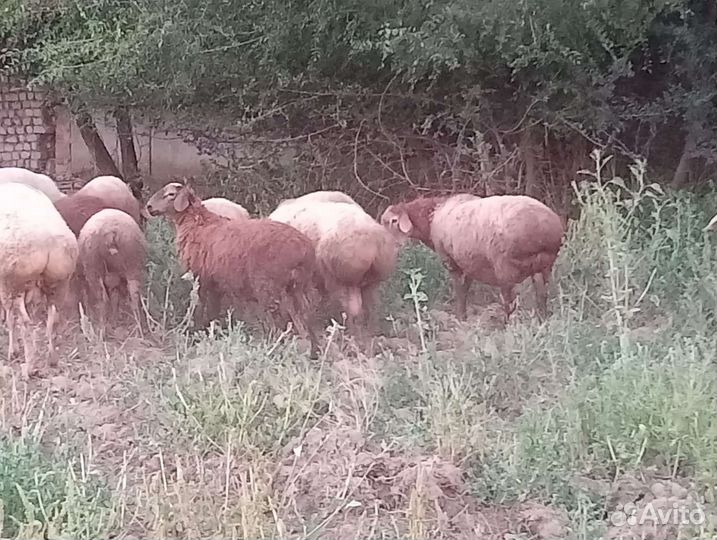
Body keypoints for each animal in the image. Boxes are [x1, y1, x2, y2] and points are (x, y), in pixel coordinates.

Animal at [0, 182, 78, 378]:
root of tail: (47, 239)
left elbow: (9, 316)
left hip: (14, 282)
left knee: (23, 322)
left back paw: (27, 365)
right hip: (59, 282)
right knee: (53, 320)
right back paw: (52, 360)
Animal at [145, 182, 321, 358]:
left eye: (171, 194)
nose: (149, 206)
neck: (197, 223)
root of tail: (303, 249)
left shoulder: (201, 280)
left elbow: (203, 310)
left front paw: (201, 333)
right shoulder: (215, 284)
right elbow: (214, 311)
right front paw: (214, 332)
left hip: (269, 288)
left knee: (281, 323)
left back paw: (275, 349)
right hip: (299, 288)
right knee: (306, 318)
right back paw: (313, 351)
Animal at [269, 198, 397, 334]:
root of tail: (372, 244)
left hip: (343, 279)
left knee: (353, 309)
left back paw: (352, 332)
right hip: (370, 280)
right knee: (371, 305)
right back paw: (371, 330)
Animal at [380, 193, 564, 321]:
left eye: (393, 221)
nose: (384, 243)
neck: (432, 218)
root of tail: (543, 229)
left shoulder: (451, 261)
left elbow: (460, 290)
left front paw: (460, 318)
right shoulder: (468, 263)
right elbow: (466, 287)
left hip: (505, 267)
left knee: (509, 302)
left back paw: (508, 325)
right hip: (543, 266)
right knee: (541, 296)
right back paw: (542, 321)